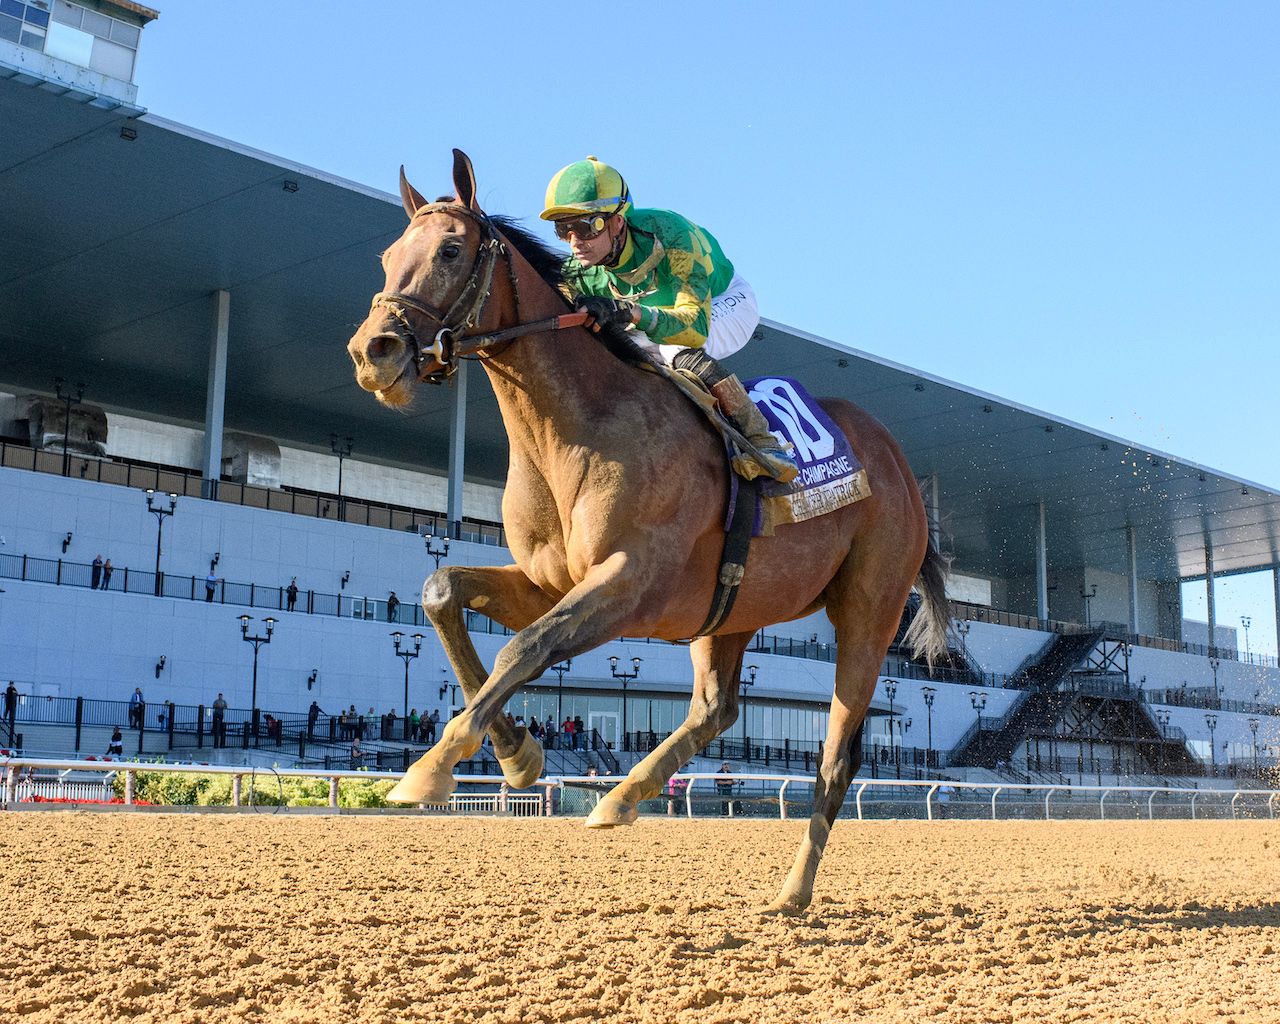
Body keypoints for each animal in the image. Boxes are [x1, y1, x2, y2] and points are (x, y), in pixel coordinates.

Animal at [345, 152, 947, 911]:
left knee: (837, 754)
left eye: (451, 250)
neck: (580, 426)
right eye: (387, 256)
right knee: (716, 710)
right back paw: (623, 797)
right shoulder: (554, 582)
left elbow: (525, 648)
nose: (373, 352)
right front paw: (518, 753)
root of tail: (897, 460)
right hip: (731, 610)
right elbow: (443, 591)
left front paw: (434, 766)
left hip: (868, 609)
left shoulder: (632, 585)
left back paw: (792, 892)